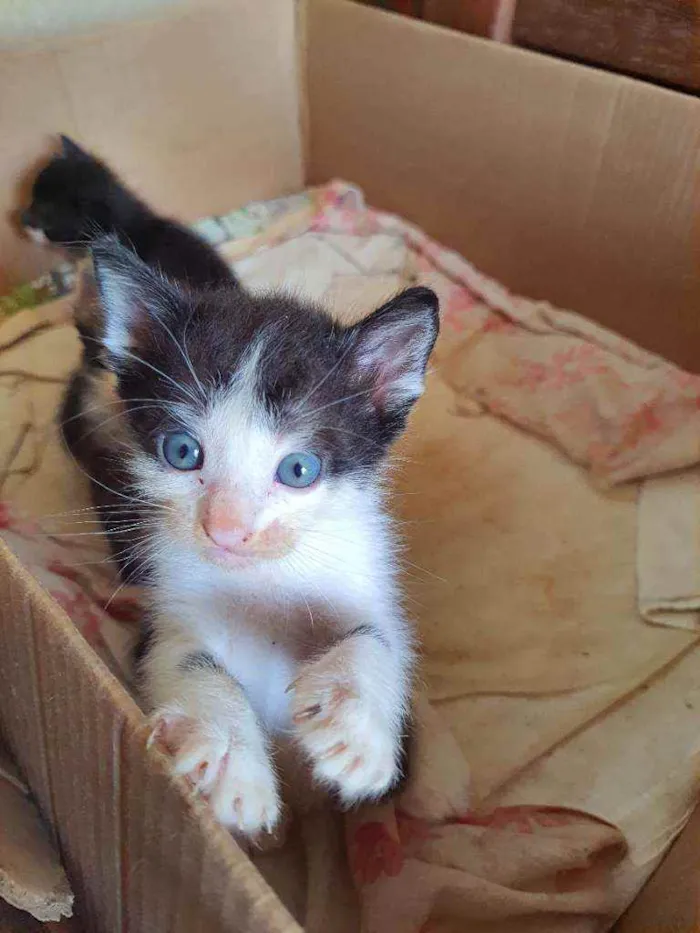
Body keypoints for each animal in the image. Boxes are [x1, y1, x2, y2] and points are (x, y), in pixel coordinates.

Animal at [63, 233, 440, 836]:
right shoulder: (160, 617)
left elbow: (377, 636)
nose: (226, 530)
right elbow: (184, 657)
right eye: (181, 451)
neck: (264, 579)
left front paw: (353, 728)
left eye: (299, 469)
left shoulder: (365, 581)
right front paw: (230, 760)